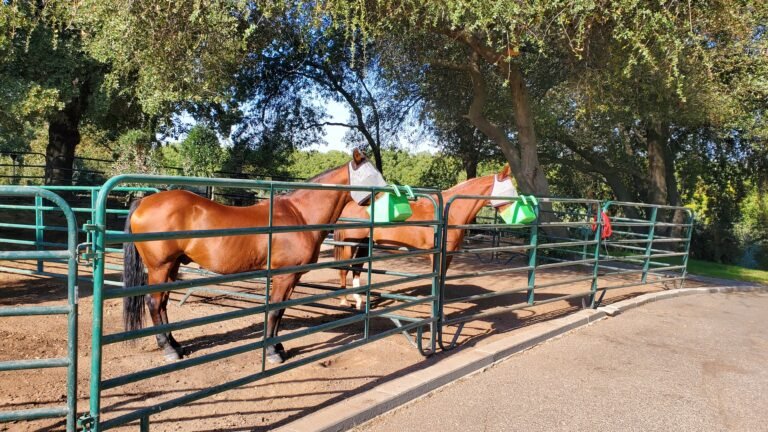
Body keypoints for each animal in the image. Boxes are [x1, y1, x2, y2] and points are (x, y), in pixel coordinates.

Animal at [122, 149, 386, 363]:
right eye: (373, 176)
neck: (299, 215)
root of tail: (144, 201)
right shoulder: (284, 276)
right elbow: (275, 311)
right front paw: (272, 353)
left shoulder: (292, 277)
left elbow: (280, 311)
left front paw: (278, 347)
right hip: (160, 266)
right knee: (154, 303)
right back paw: (169, 349)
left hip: (173, 266)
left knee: (162, 303)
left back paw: (175, 345)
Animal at [334, 164, 517, 309]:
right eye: (510, 189)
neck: (449, 212)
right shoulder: (435, 254)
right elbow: (438, 279)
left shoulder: (448, 255)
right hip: (350, 244)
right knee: (344, 269)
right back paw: (344, 301)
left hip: (365, 244)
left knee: (357, 269)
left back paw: (360, 302)